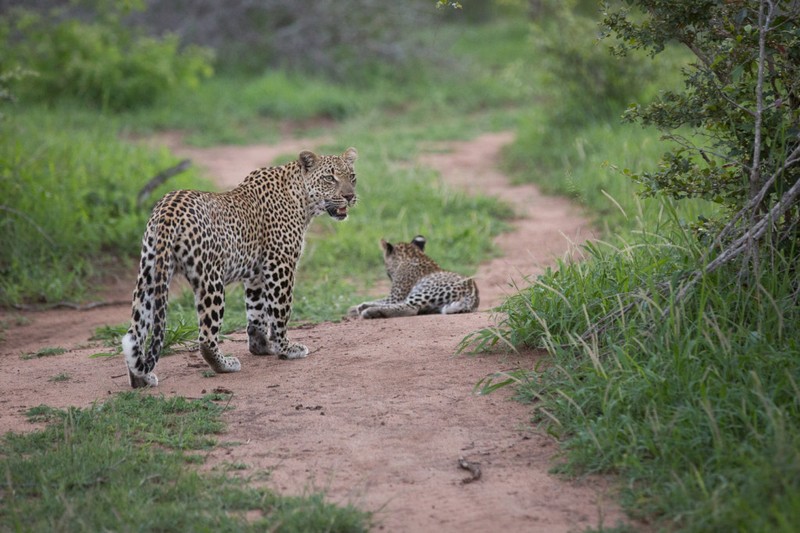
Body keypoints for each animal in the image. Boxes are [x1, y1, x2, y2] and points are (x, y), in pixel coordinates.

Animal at [122, 148, 360, 388]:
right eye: (329, 178)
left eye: (352, 177)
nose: (349, 197)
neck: (302, 198)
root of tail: (168, 208)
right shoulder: (280, 265)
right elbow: (280, 310)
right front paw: (286, 349)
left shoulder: (256, 274)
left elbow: (256, 312)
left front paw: (261, 346)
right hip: (210, 279)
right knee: (206, 337)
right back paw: (225, 364)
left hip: (148, 276)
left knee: (134, 333)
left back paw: (141, 378)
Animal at [348, 235, 476, 318]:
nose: (389, 277)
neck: (413, 255)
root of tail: (472, 299)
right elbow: (381, 300)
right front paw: (358, 307)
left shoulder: (396, 296)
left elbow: (383, 300)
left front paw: (359, 307)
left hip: (425, 292)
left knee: (409, 308)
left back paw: (371, 312)